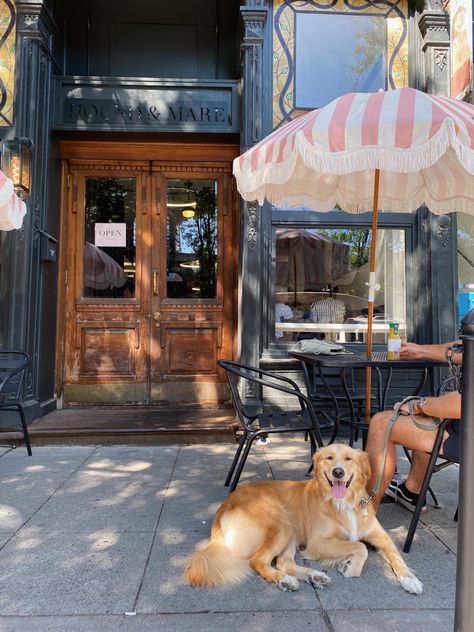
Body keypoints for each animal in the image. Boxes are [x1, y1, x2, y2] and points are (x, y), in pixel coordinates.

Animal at [184, 444, 422, 592]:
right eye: (329, 458)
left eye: (348, 459)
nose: (337, 472)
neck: (344, 503)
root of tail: (223, 507)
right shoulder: (318, 543)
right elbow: (359, 546)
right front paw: (351, 567)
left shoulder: (382, 537)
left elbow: (396, 556)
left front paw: (410, 579)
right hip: (282, 523)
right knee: (259, 561)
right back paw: (285, 580)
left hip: (290, 531)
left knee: (284, 563)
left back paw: (313, 576)